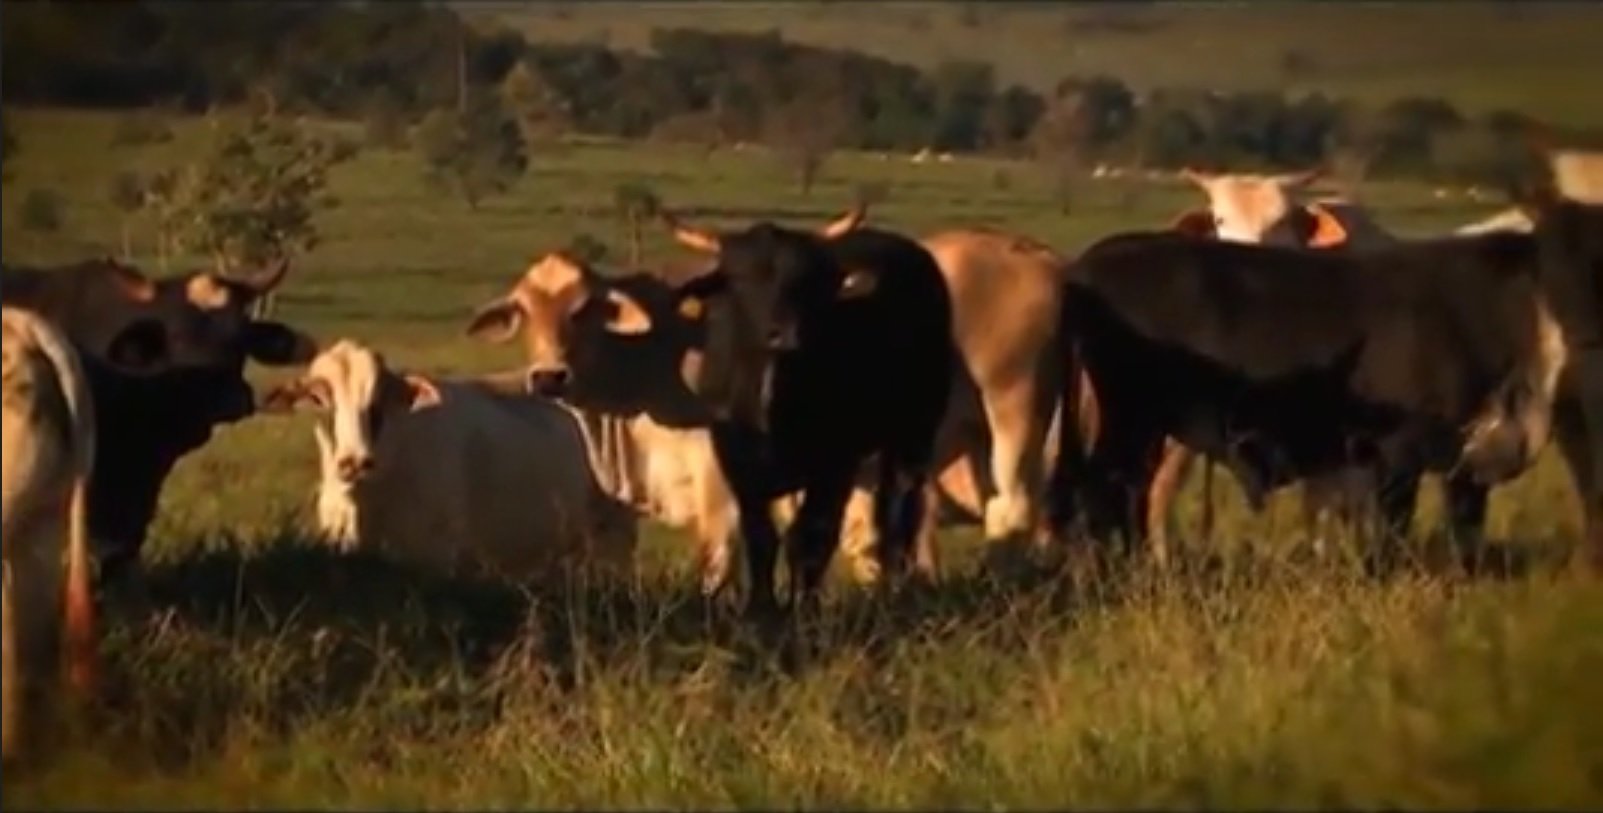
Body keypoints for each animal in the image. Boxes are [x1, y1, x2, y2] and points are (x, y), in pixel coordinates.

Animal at [657, 205, 955, 615]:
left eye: (804, 282)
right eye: (740, 278)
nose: (784, 333)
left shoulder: (835, 463)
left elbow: (812, 537)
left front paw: (804, 607)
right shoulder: (739, 464)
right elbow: (761, 538)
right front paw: (761, 606)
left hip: (914, 433)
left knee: (902, 509)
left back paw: (898, 585)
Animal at [1051, 226, 1564, 564]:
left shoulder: (1464, 458)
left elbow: (1464, 527)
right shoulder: (1408, 450)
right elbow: (1399, 528)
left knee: (1129, 494)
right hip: (1125, 420)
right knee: (1105, 492)